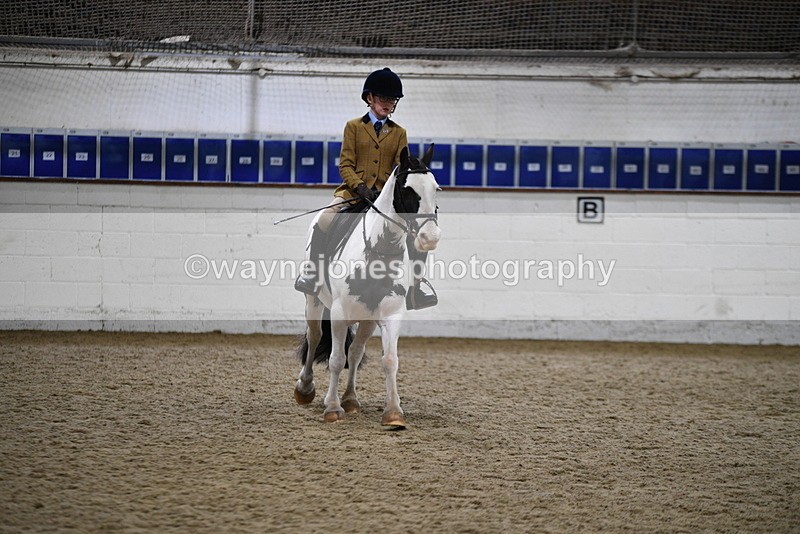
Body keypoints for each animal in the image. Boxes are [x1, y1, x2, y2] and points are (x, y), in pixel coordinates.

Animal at [293, 144, 440, 428]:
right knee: (315, 336)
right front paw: (332, 408)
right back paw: (305, 389)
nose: (430, 238)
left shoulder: (390, 314)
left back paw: (351, 400)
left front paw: (393, 413)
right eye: (408, 189)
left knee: (355, 351)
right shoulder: (339, 313)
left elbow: (389, 360)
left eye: (436, 188)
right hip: (313, 301)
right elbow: (336, 359)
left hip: (367, 318)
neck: (379, 248)